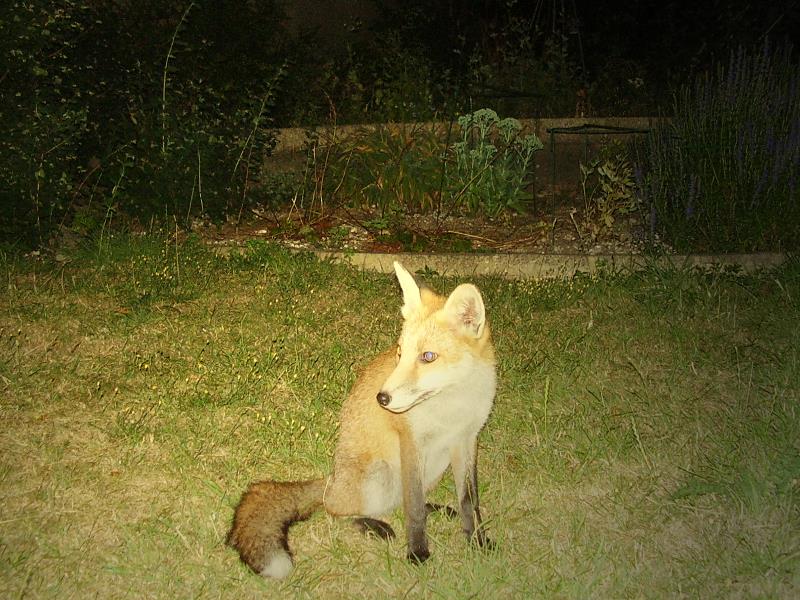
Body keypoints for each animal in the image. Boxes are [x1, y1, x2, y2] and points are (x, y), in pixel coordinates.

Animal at [225, 262, 496, 576]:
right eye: (400, 352)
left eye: (428, 356)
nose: (382, 399)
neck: (452, 408)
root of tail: (332, 478)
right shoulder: (411, 442)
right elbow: (414, 508)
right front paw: (417, 552)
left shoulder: (467, 440)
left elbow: (469, 502)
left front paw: (477, 541)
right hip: (379, 475)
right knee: (336, 509)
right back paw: (372, 524)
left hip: (434, 467)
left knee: (398, 502)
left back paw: (433, 510)